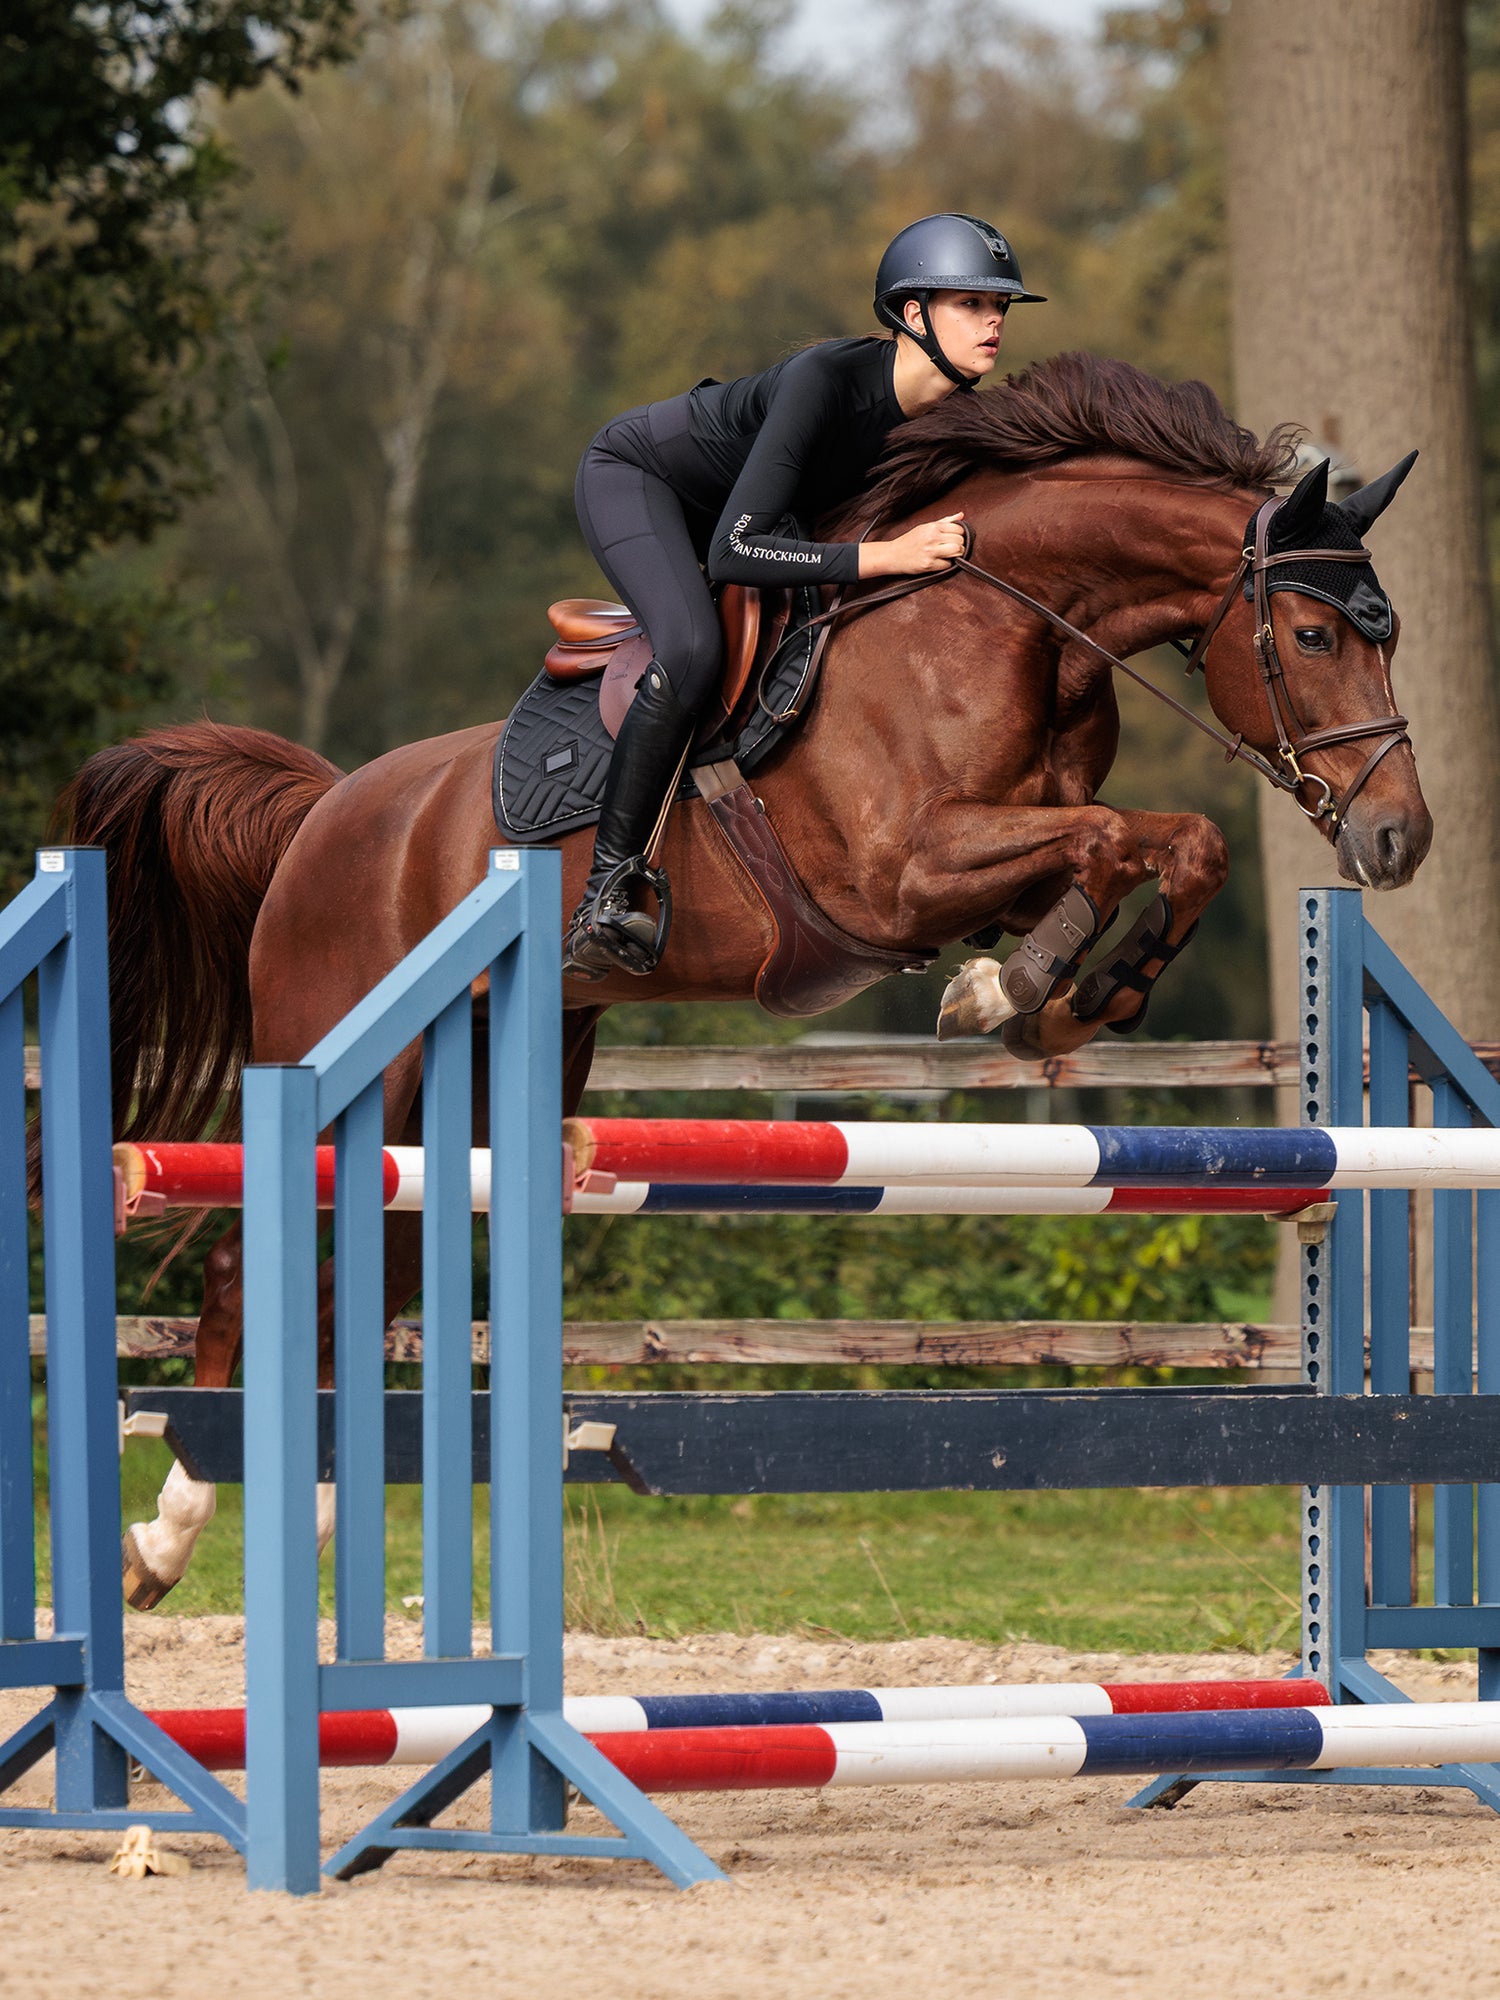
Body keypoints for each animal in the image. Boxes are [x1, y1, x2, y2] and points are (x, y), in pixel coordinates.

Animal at [70, 356, 1432, 1608]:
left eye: (1391, 634)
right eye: (1314, 635)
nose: (1398, 841)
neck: (1012, 627)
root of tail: (323, 810)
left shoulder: (988, 860)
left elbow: (1163, 844)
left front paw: (1068, 993)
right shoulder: (900, 873)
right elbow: (1107, 839)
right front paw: (1017, 992)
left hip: (485, 1070)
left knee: (369, 1271)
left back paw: (302, 1514)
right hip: (344, 1047)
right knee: (251, 1264)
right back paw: (166, 1538)